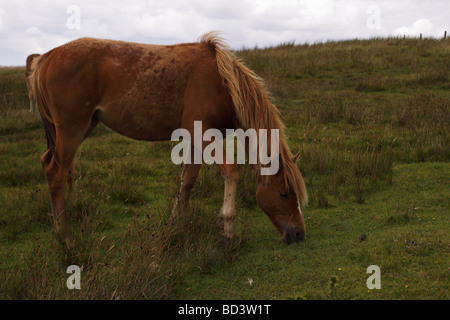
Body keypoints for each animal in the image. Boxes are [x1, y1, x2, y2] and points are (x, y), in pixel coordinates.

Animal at [29, 31, 310, 249]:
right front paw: (227, 232)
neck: (221, 81)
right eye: (284, 193)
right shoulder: (203, 135)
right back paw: (65, 239)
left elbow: (187, 181)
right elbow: (230, 172)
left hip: (81, 128)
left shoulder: (197, 141)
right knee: (56, 173)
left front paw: (176, 225)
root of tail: (46, 57)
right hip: (71, 131)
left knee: (46, 163)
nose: (298, 234)